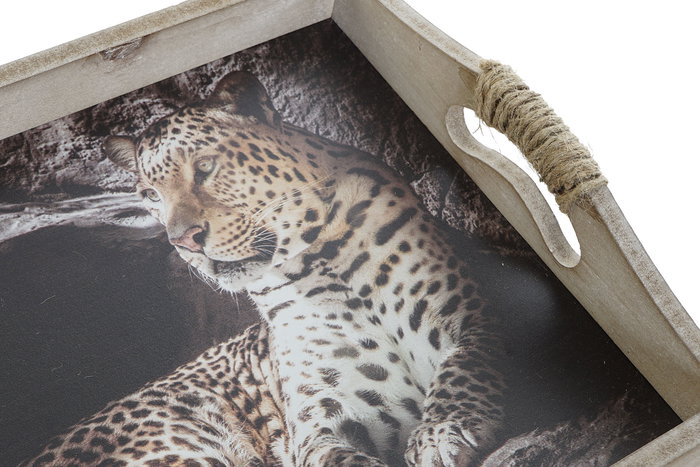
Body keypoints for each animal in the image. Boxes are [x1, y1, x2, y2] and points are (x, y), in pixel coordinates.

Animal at [104, 70, 506, 467]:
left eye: (204, 167)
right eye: (152, 196)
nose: (183, 241)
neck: (321, 262)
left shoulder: (478, 317)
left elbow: (466, 366)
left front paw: (440, 432)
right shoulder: (325, 421)